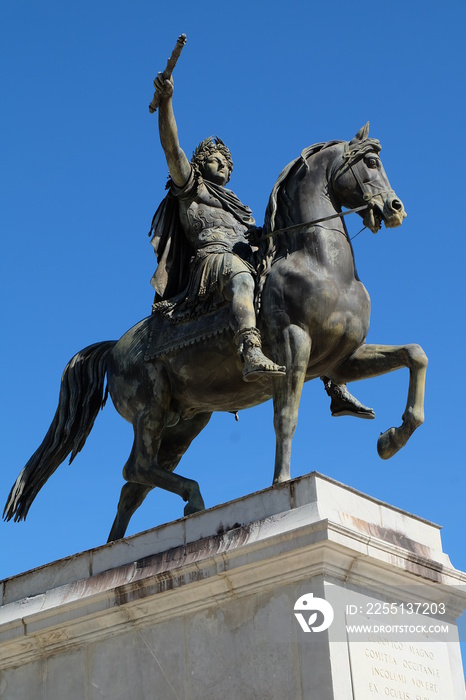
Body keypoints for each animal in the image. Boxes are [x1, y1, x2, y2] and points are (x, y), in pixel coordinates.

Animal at [3, 124, 428, 540]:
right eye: (371, 162)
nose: (396, 208)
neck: (319, 263)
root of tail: (114, 348)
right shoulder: (294, 345)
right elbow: (286, 417)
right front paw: (282, 482)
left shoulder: (342, 359)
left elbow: (415, 354)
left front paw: (392, 439)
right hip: (151, 406)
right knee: (135, 468)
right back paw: (191, 498)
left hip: (185, 422)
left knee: (133, 485)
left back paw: (117, 544)